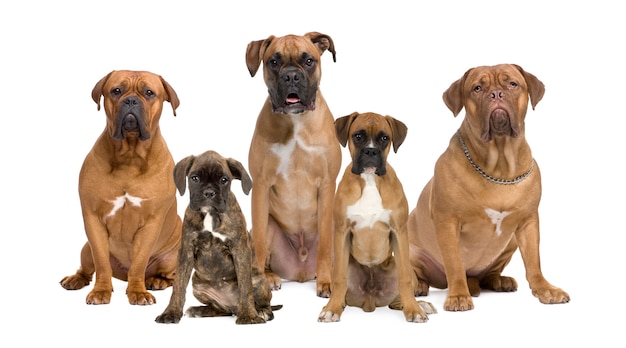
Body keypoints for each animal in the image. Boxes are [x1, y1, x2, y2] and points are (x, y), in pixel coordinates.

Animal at [60, 68, 182, 304]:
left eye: (149, 93)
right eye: (116, 91)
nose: (131, 100)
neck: (130, 155)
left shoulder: (151, 223)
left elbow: (139, 263)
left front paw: (138, 292)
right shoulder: (93, 219)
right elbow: (101, 263)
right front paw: (101, 291)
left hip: (173, 254)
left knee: (170, 276)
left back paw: (157, 281)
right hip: (85, 249)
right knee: (87, 268)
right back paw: (75, 279)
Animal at [152, 151, 280, 324]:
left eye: (224, 180)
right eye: (194, 178)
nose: (209, 193)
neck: (210, 214)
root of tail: (233, 307)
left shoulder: (240, 250)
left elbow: (245, 288)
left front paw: (249, 316)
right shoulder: (186, 251)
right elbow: (178, 287)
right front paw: (170, 313)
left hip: (258, 279)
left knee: (262, 301)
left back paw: (261, 311)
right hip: (197, 285)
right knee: (219, 309)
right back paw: (199, 310)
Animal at [244, 32, 342, 296]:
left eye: (309, 61)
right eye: (273, 62)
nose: (291, 76)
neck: (296, 121)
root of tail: (301, 272)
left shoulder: (327, 185)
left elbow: (326, 244)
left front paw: (327, 282)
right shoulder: (261, 186)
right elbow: (258, 243)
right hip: (270, 224)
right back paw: (269, 277)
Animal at [316, 113, 434, 322]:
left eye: (384, 138)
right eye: (358, 136)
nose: (371, 151)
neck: (370, 180)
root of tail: (370, 301)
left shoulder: (399, 231)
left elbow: (404, 279)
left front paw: (414, 310)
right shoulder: (342, 231)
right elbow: (338, 279)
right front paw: (332, 309)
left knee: (401, 294)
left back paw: (419, 305)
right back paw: (335, 305)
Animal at [408, 64, 568, 312]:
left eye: (512, 84)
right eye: (477, 88)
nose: (496, 94)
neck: (499, 168)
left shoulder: (529, 222)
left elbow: (534, 261)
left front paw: (545, 289)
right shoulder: (447, 222)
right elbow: (454, 262)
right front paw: (458, 296)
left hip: (511, 242)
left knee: (489, 274)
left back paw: (500, 281)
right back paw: (419, 286)